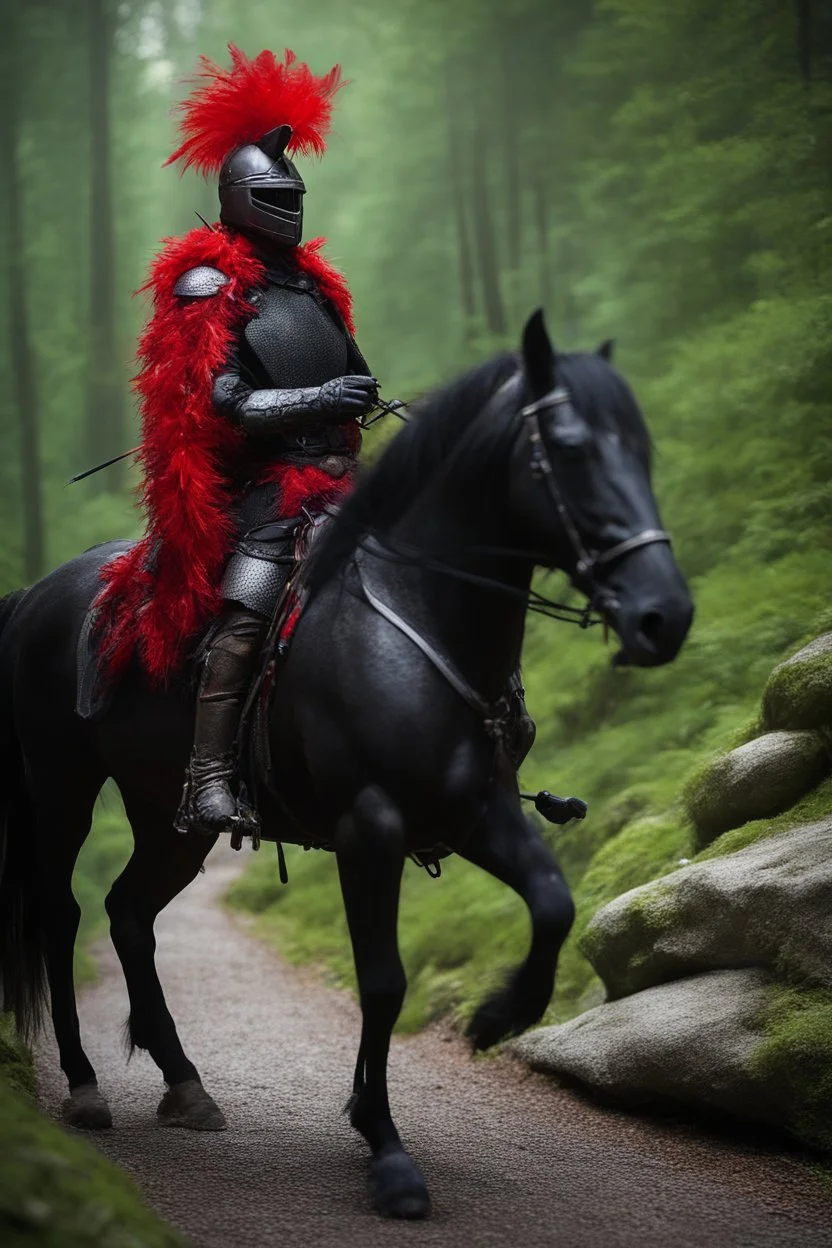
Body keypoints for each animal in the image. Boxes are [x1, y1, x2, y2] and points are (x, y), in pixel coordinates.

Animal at [0, 314, 688, 1218]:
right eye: (569, 448)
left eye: (642, 448)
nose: (664, 615)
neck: (419, 614)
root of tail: (38, 593)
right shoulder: (371, 826)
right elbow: (383, 979)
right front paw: (386, 1150)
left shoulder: (476, 811)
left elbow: (552, 902)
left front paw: (498, 1017)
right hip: (61, 787)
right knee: (63, 914)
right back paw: (84, 1086)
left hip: (169, 817)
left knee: (128, 913)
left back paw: (185, 1084)